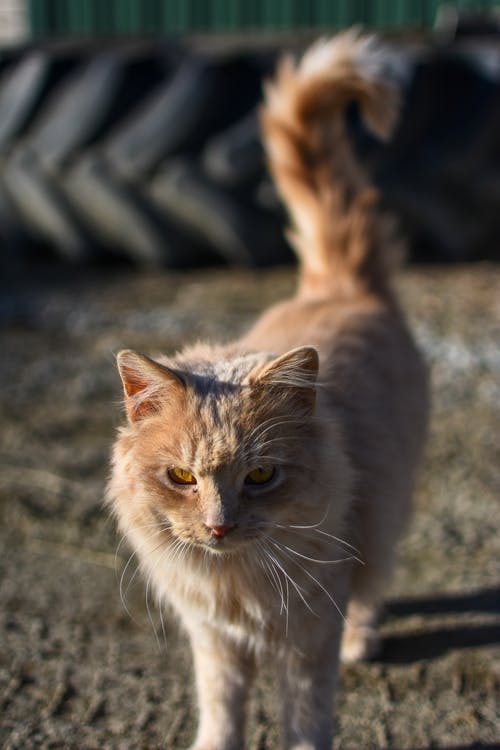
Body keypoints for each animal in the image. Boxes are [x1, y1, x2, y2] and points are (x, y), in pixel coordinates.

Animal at [107, 29, 428, 750]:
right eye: (181, 477)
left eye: (260, 477)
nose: (219, 526)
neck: (236, 584)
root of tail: (337, 284)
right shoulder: (214, 642)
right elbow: (221, 713)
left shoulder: (308, 638)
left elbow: (306, 719)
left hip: (387, 516)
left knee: (375, 585)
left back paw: (364, 642)